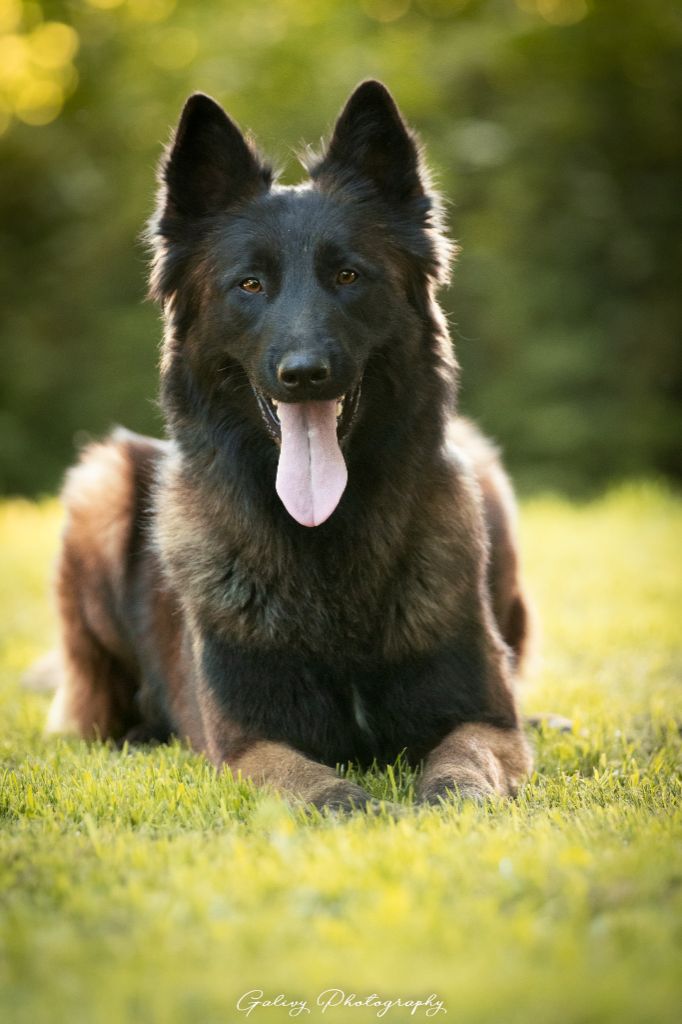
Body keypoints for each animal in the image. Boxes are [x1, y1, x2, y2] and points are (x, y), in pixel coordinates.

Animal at [46, 79, 532, 806]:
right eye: (250, 285)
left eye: (349, 277)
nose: (304, 374)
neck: (325, 548)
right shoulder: (243, 746)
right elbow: (314, 785)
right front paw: (356, 806)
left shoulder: (488, 720)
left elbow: (465, 765)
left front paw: (448, 799)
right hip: (98, 486)